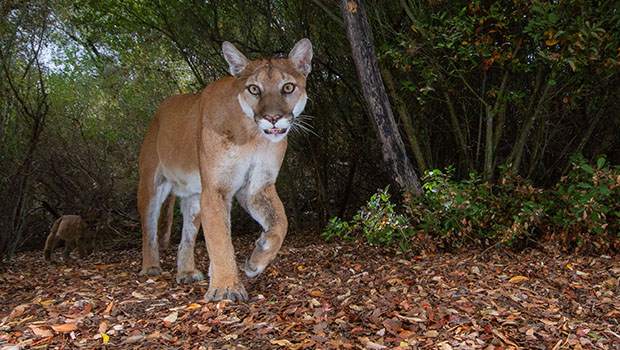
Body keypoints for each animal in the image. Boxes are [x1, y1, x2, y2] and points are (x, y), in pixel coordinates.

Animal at [138, 38, 312, 300]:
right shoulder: (216, 188)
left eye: (288, 87)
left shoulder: (257, 186)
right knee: (149, 229)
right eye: (254, 89)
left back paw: (187, 272)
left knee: (186, 238)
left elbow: (280, 223)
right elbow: (220, 239)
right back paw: (151, 267)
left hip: (193, 199)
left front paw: (256, 260)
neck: (251, 134)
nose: (272, 118)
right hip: (150, 186)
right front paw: (226, 288)